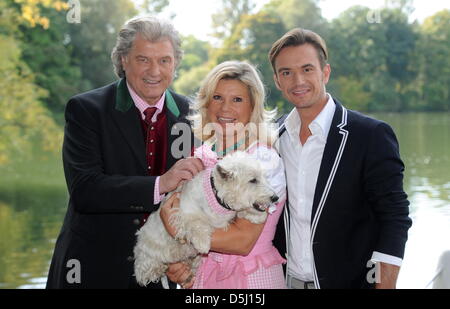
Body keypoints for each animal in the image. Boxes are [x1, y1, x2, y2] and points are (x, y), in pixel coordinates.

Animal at [132, 150, 278, 286]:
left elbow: (243, 212)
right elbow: (196, 223)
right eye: (253, 180)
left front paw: (258, 216)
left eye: (265, 177)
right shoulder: (182, 212)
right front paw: (203, 243)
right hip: (148, 251)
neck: (217, 199)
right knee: (143, 268)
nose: (275, 198)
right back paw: (155, 269)